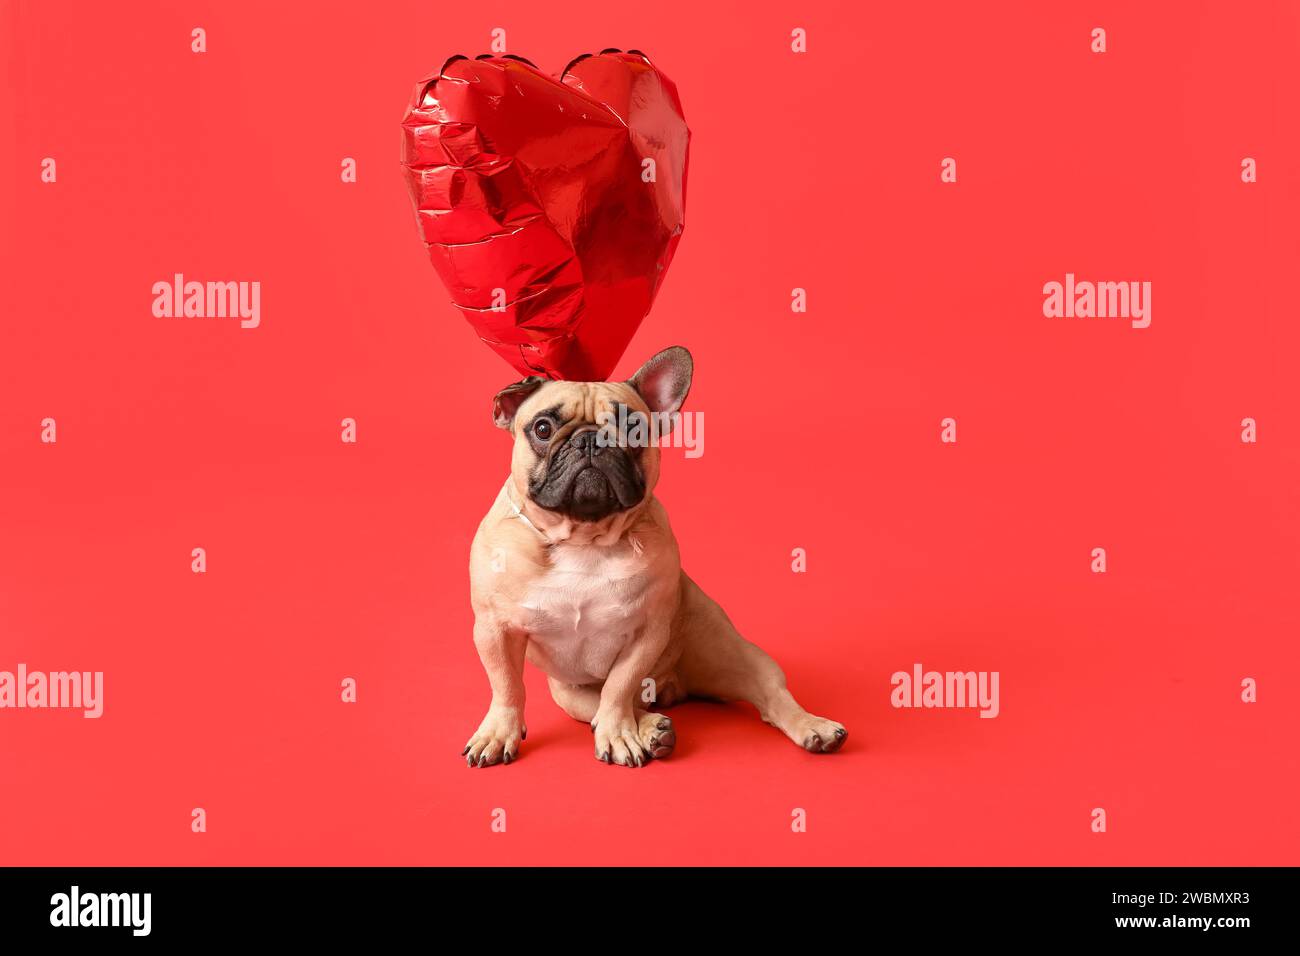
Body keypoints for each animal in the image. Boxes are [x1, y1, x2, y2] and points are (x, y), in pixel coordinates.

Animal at [462, 348, 847, 764]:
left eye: (633, 427)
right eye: (544, 428)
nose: (590, 440)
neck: (585, 539)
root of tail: (673, 686)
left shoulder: (647, 632)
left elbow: (618, 686)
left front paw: (617, 735)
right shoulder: (494, 630)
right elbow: (507, 686)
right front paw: (499, 733)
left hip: (738, 655)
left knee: (771, 695)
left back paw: (814, 727)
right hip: (567, 692)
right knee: (609, 706)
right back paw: (652, 729)